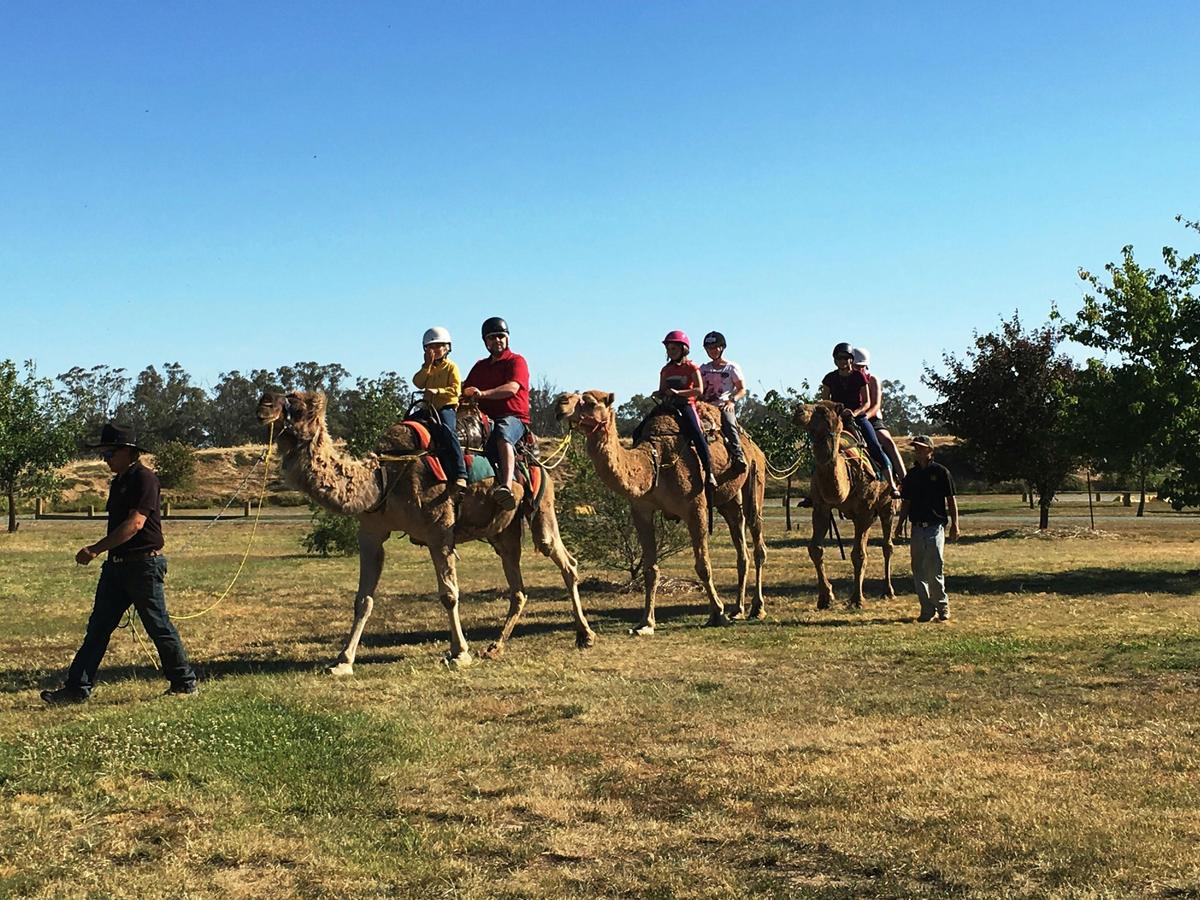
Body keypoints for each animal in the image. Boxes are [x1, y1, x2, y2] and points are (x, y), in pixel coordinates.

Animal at [257, 391, 595, 672]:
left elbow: (449, 594)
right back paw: (495, 647)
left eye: (297, 404)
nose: (264, 403)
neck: (384, 476)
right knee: (518, 586)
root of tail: (532, 449)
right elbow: (363, 599)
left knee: (562, 558)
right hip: (503, 530)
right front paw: (342, 661)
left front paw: (459, 654)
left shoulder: (439, 529)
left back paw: (585, 635)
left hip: (542, 500)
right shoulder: (371, 533)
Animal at [555, 391, 767, 634]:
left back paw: (757, 609)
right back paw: (738, 610)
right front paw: (645, 623)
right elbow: (650, 569)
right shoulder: (641, 510)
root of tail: (755, 446)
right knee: (741, 544)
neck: (655, 460)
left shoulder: (695, 507)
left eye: (589, 402)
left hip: (755, 479)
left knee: (757, 539)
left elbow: (703, 565)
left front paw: (717, 614)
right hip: (729, 501)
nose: (560, 403)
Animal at [793, 400, 895, 608]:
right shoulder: (821, 508)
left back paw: (888, 591)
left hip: (887, 505)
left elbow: (858, 554)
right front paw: (825, 598)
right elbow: (815, 549)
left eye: (822, 411)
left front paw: (857, 599)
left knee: (887, 545)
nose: (797, 410)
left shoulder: (865, 511)